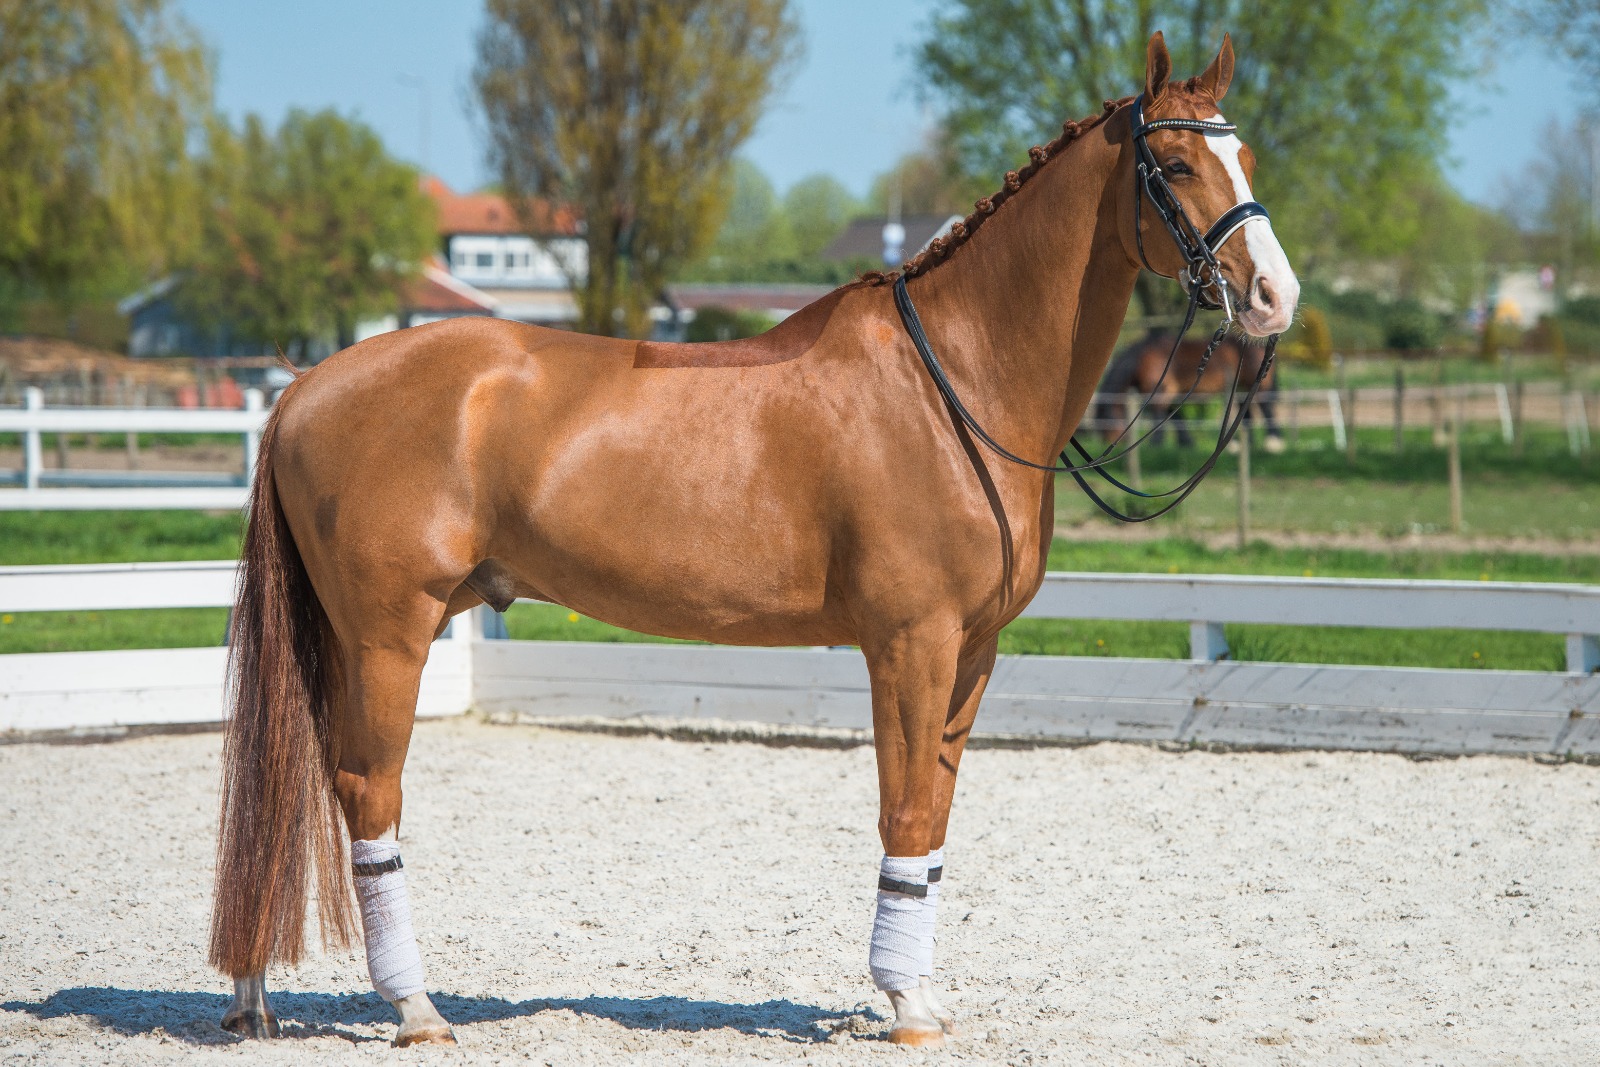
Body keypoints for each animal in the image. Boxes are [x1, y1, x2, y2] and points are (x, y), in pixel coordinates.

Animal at [1093, 329, 1284, 450]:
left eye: (1106, 422)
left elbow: (1159, 416)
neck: (1143, 358)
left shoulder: (1160, 392)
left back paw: (1273, 442)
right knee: (1248, 414)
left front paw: (1156, 444)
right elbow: (1175, 417)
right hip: (1241, 390)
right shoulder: (1171, 393)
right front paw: (1185, 443)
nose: (1105, 442)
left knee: (1267, 409)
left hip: (1259, 386)